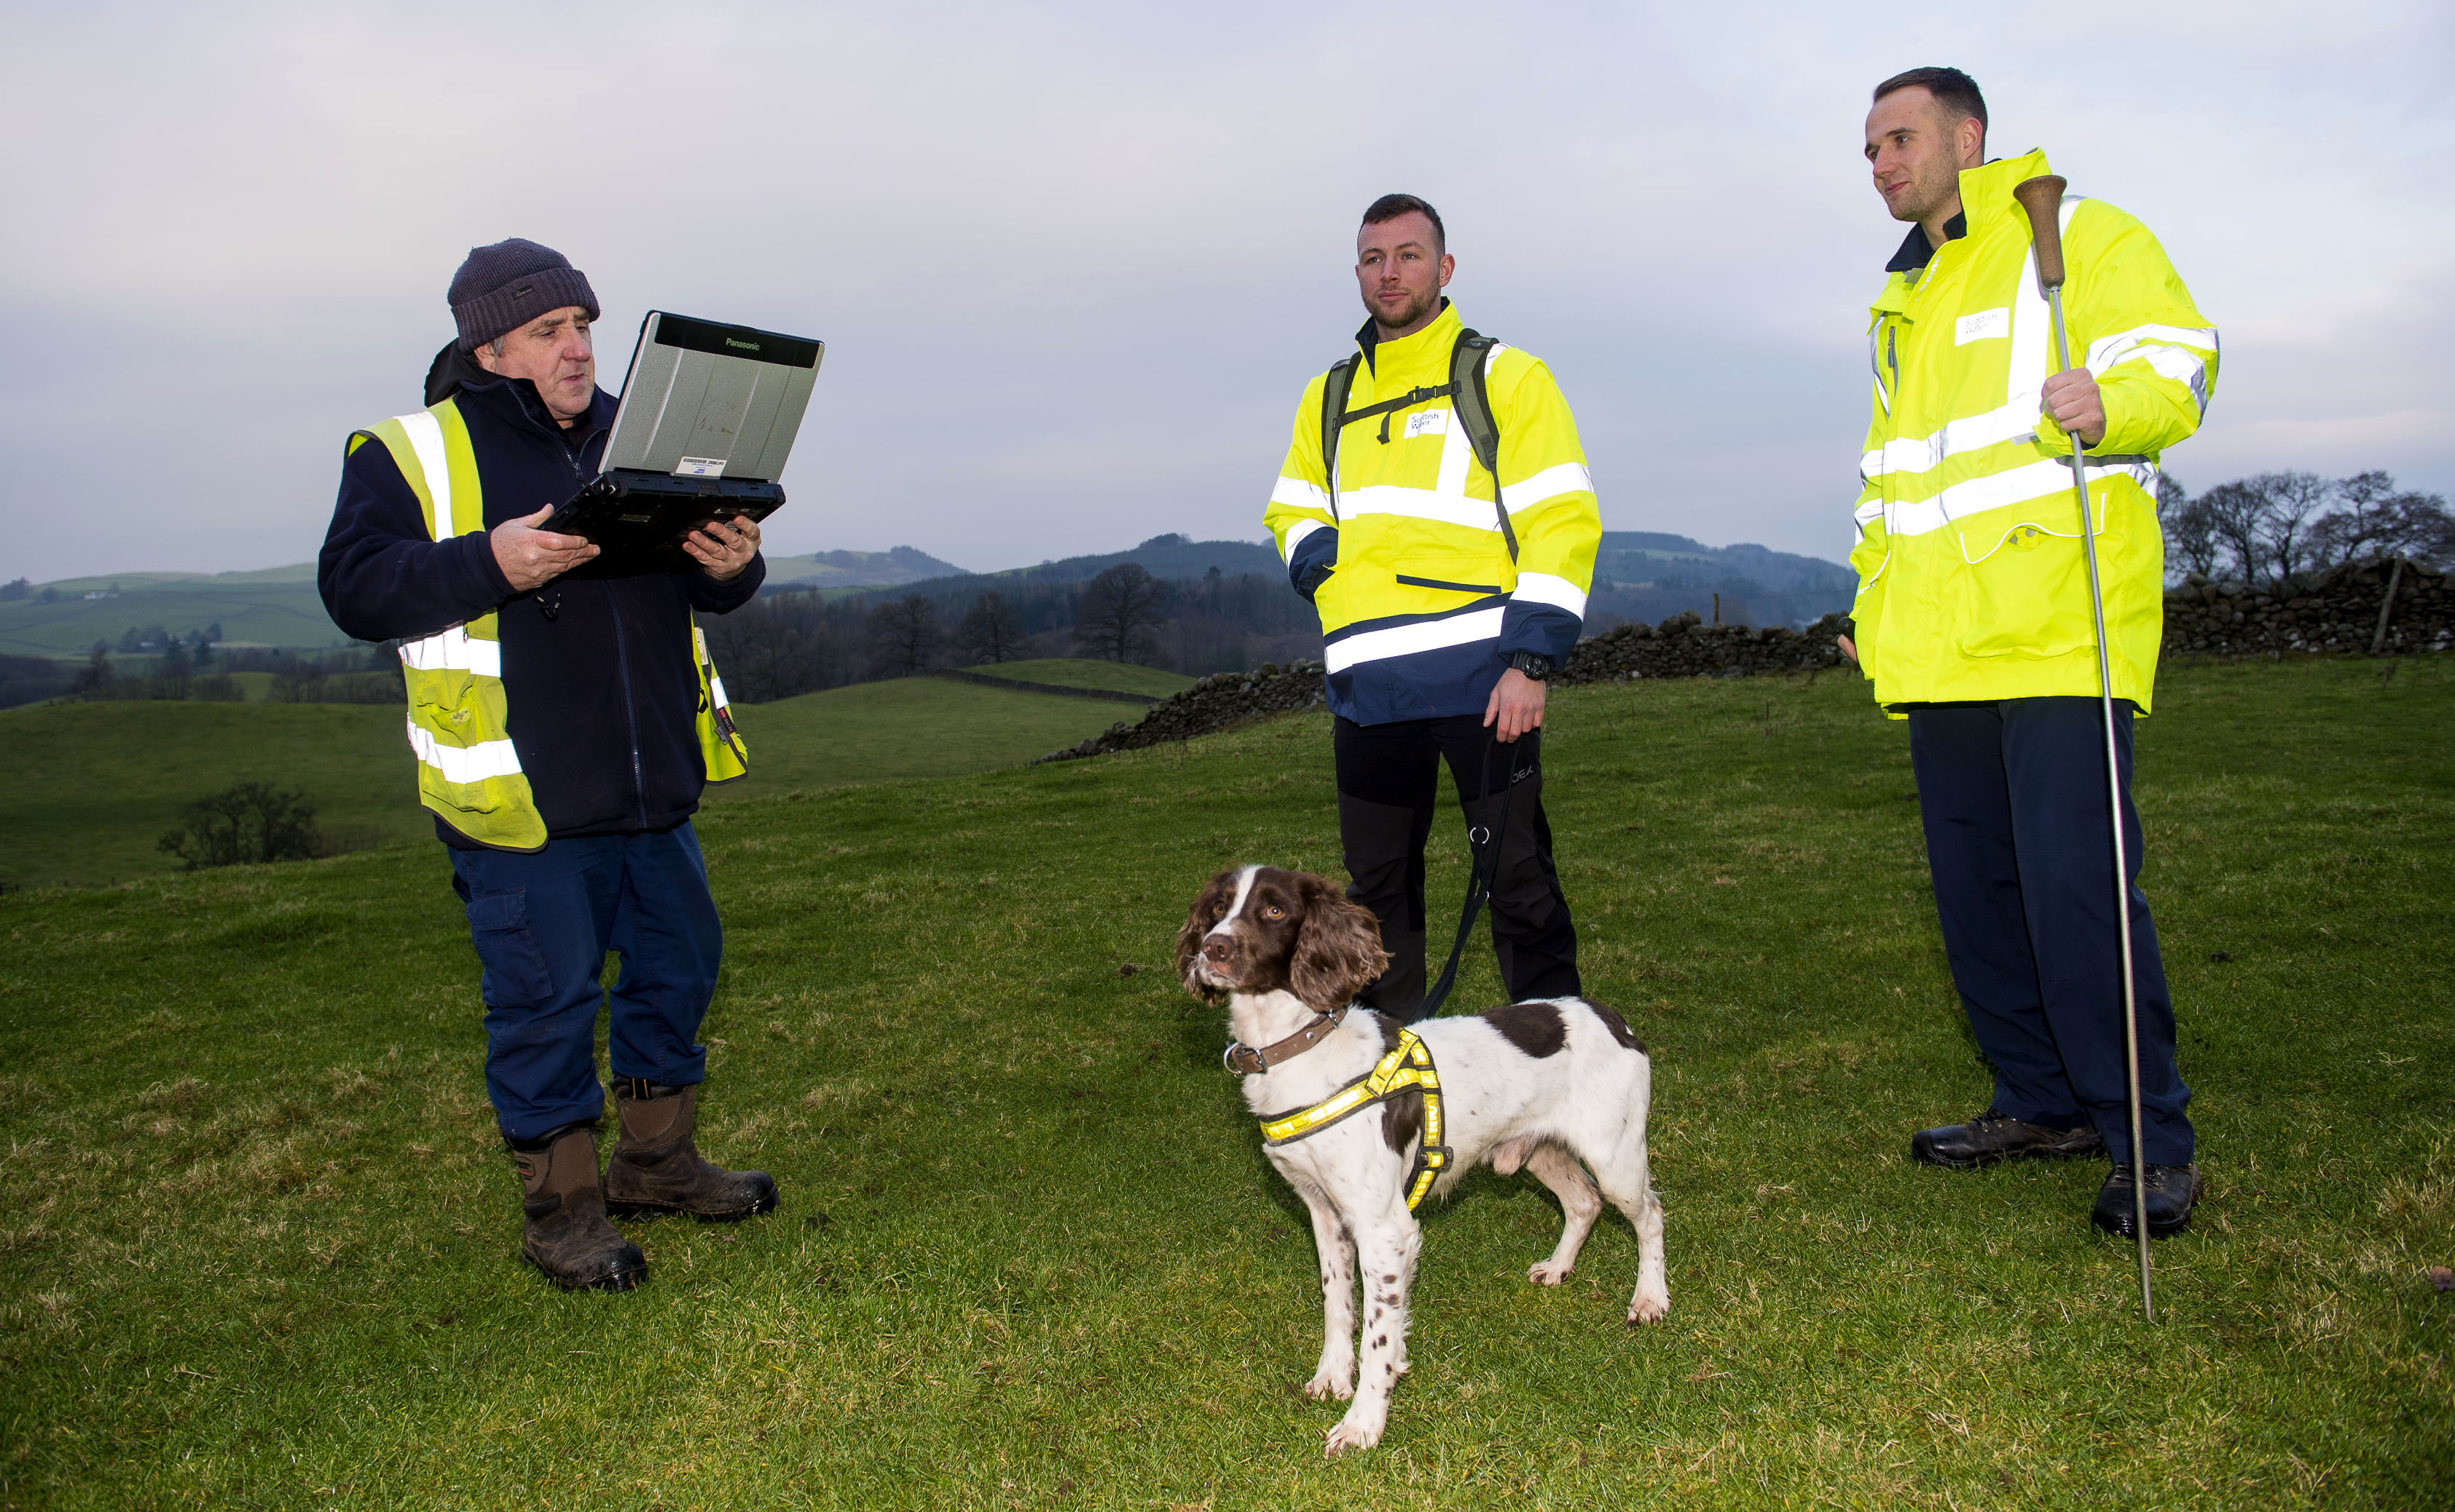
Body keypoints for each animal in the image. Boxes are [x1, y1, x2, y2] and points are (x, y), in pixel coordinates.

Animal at [1168, 869, 1669, 1462]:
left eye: (1273, 911)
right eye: (1218, 907)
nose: (1212, 948)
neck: (1303, 1053)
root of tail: (1611, 1016)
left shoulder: (1385, 1230)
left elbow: (1379, 1336)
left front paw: (1363, 1423)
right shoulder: (1324, 1212)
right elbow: (1337, 1302)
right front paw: (1333, 1377)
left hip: (1615, 1157)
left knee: (1650, 1215)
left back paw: (1650, 1299)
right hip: (1538, 1150)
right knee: (1584, 1201)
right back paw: (1559, 1267)